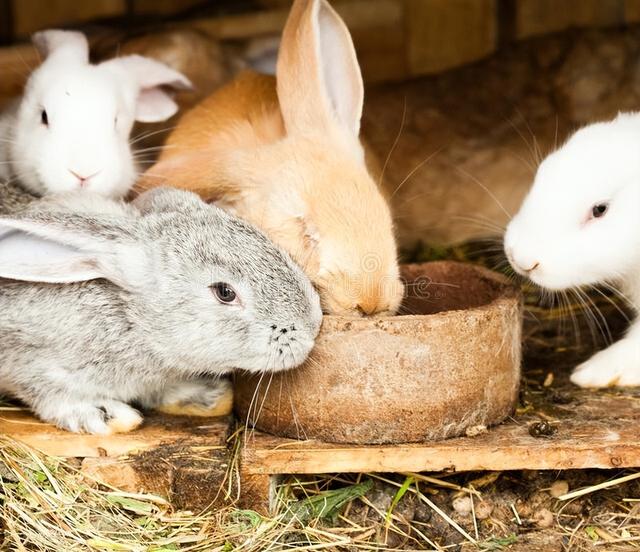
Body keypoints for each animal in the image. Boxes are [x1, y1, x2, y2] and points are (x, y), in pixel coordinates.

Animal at [0, 188, 322, 434]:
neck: (133, 321)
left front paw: (210, 396)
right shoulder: (33, 365)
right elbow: (51, 395)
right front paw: (108, 416)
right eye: (225, 292)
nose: (312, 327)